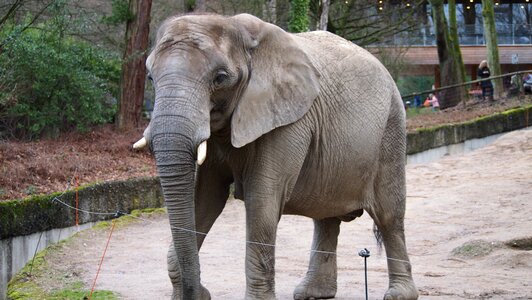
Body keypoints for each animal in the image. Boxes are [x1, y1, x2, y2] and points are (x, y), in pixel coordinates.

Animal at [133, 12, 416, 300]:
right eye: (150, 78)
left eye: (220, 78)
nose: (199, 292)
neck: (239, 29)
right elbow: (205, 197)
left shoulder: (288, 119)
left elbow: (262, 200)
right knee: (326, 215)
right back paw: (312, 292)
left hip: (391, 128)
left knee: (389, 215)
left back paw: (398, 294)